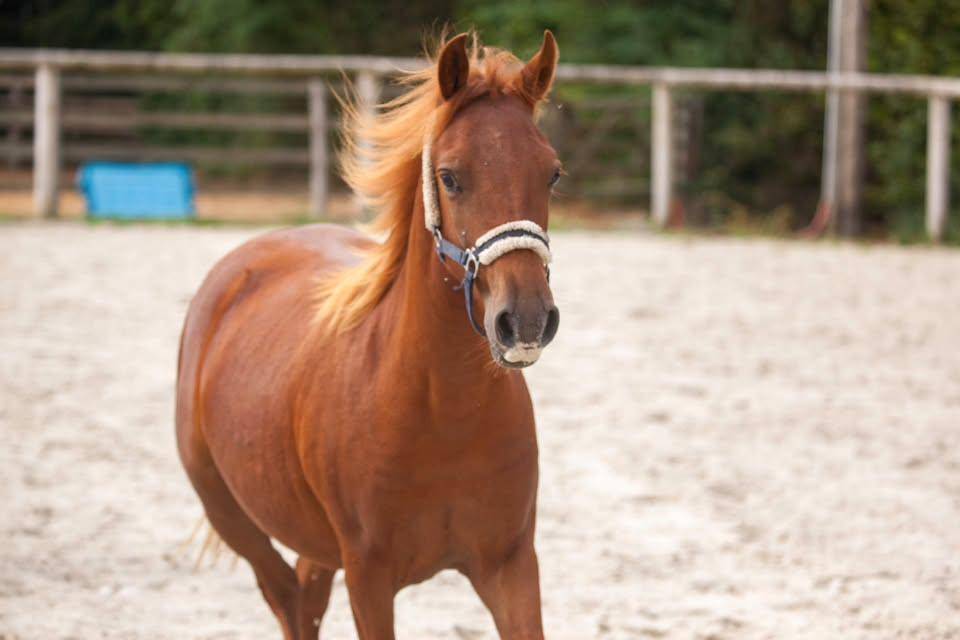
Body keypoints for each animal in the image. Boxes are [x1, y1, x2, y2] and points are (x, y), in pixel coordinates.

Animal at [176, 30, 561, 639]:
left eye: (552, 174)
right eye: (451, 177)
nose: (524, 320)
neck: (440, 412)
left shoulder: (511, 566)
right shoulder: (369, 578)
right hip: (234, 518)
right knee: (288, 601)